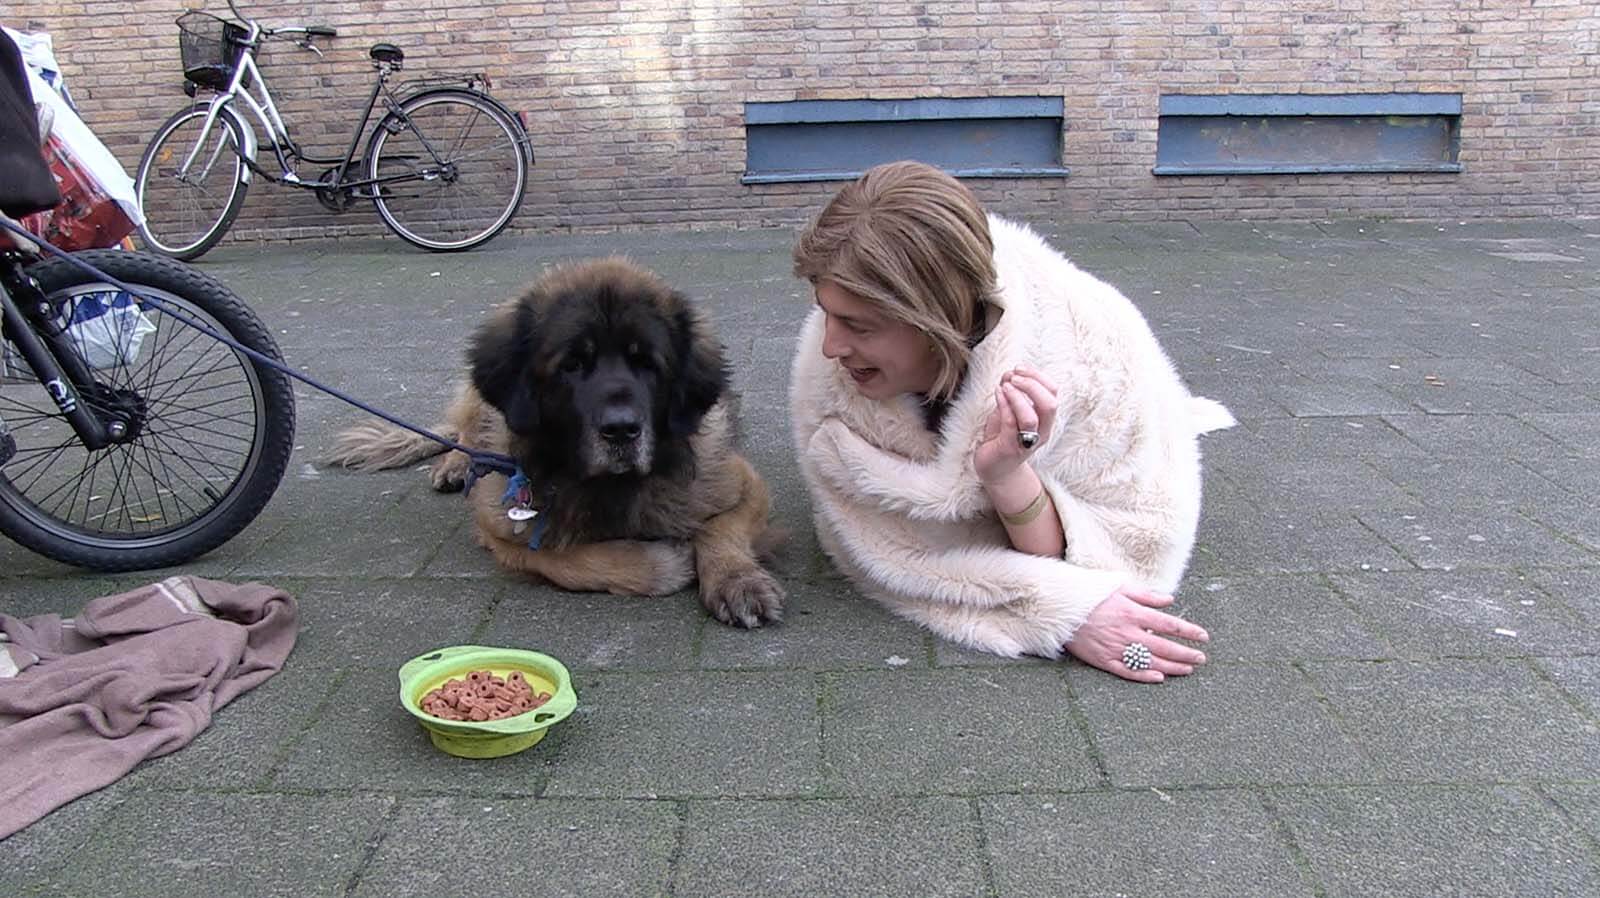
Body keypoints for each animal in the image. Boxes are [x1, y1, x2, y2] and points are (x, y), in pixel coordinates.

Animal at [328, 257, 784, 628]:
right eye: (572, 365)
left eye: (647, 363)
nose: (621, 430)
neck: (610, 487)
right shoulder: (499, 527)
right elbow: (563, 558)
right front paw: (662, 564)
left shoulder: (744, 484)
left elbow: (721, 529)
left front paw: (737, 579)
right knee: (463, 433)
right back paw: (456, 466)